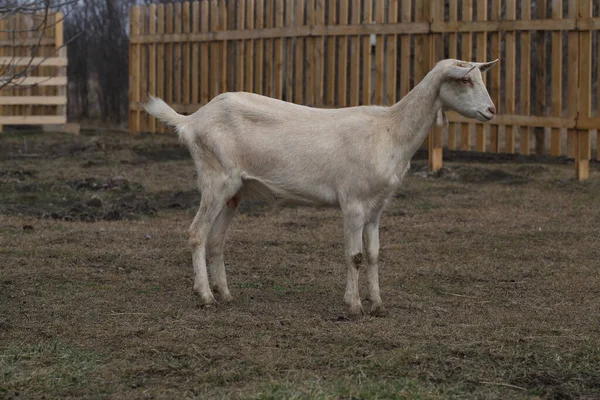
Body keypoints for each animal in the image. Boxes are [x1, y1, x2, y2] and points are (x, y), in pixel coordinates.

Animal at [144, 57, 496, 318]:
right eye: (465, 81)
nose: (492, 111)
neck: (390, 131)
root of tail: (191, 121)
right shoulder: (353, 202)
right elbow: (355, 255)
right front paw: (354, 306)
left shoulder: (376, 207)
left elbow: (374, 255)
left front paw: (378, 305)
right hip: (216, 180)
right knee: (197, 233)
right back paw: (205, 296)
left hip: (235, 191)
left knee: (216, 240)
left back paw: (226, 295)